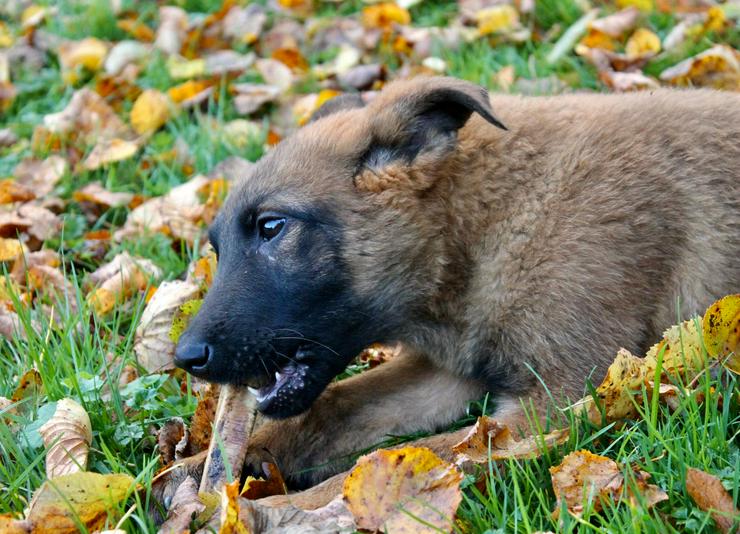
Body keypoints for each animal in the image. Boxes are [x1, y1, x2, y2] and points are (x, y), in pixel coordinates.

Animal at [176, 75, 740, 490]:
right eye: (216, 248)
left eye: (272, 227)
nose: (185, 358)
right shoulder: (448, 369)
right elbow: (334, 410)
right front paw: (199, 472)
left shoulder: (560, 403)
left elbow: (402, 462)